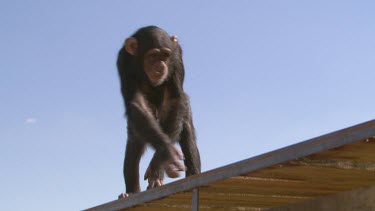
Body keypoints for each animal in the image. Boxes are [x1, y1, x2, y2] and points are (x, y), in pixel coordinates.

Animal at [117, 25, 201, 199]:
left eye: (165, 55)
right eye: (153, 55)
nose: (161, 65)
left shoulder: (177, 57)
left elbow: (175, 99)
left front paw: (158, 164)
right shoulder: (122, 61)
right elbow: (136, 103)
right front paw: (166, 152)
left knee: (185, 129)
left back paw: (190, 175)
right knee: (134, 141)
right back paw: (130, 192)